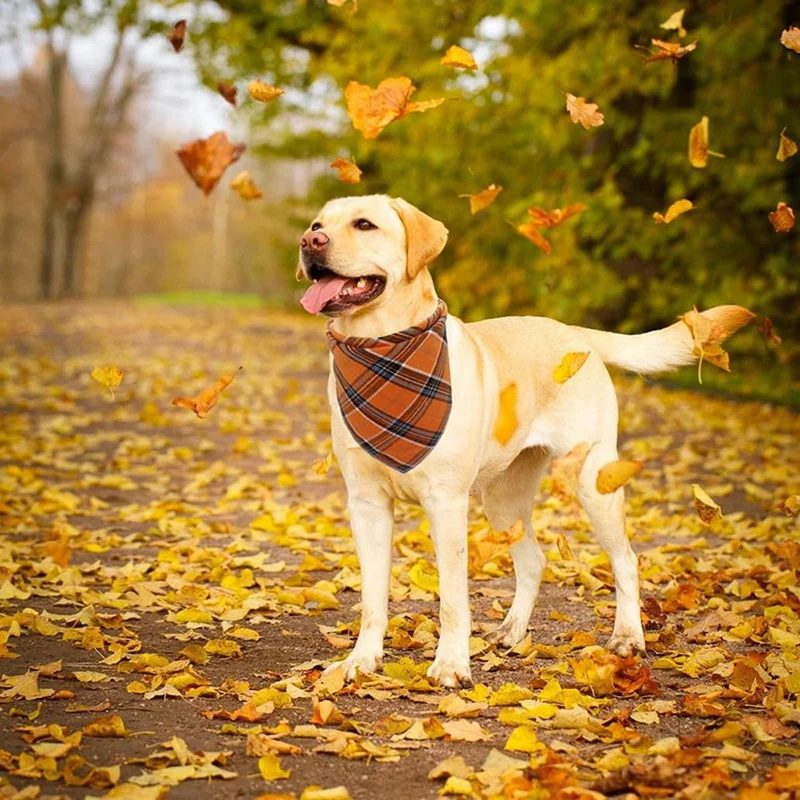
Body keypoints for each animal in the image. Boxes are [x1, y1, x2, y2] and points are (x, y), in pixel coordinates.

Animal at [296, 194, 752, 688]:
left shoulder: (446, 503)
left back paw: (628, 637)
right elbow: (372, 598)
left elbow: (452, 598)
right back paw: (512, 631)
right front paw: (361, 661)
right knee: (533, 561)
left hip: (593, 481)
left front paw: (451, 664)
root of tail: (574, 332)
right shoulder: (366, 503)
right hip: (503, 499)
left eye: (364, 225)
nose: (309, 242)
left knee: (627, 561)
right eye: (318, 224)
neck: (381, 348)